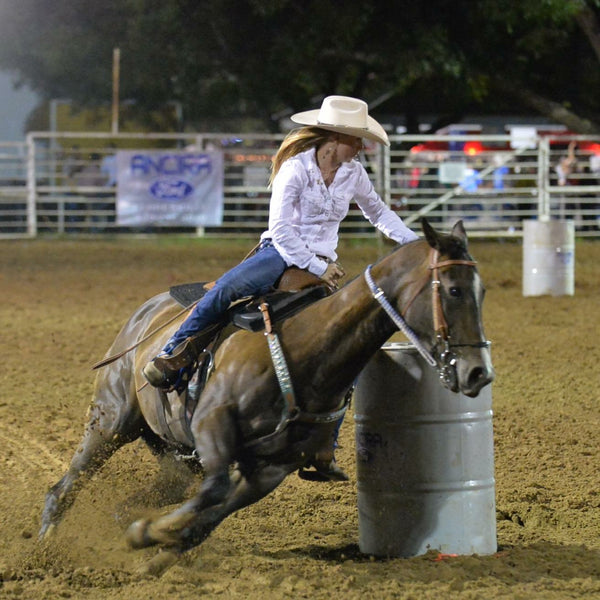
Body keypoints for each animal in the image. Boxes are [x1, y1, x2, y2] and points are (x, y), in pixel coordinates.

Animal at [39, 220, 494, 576]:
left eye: (482, 291)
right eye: (453, 290)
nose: (479, 372)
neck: (309, 346)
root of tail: (144, 314)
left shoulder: (272, 467)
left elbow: (208, 517)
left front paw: (154, 548)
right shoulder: (214, 424)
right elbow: (214, 490)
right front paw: (147, 534)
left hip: (175, 455)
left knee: (149, 492)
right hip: (112, 419)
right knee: (65, 486)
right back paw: (44, 547)